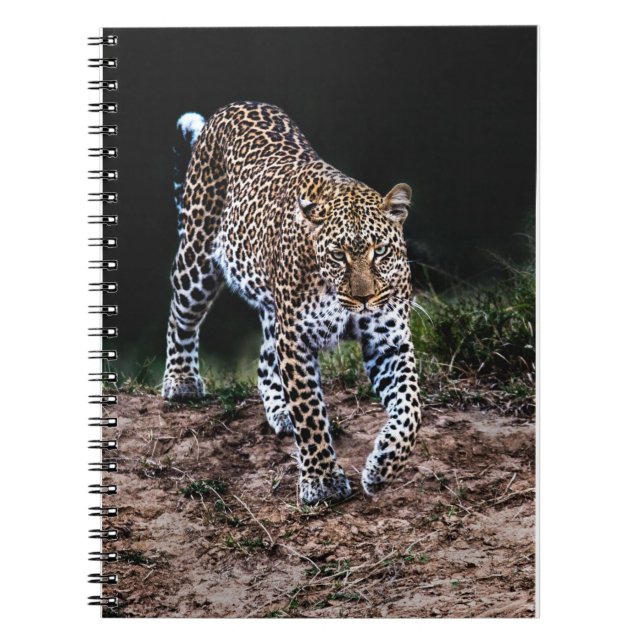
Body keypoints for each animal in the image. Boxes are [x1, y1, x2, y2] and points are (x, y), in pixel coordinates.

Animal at [163, 101, 422, 505]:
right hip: (197, 258)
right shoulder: (297, 340)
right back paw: (182, 381)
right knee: (182, 317)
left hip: (273, 310)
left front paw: (382, 467)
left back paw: (279, 409)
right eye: (338, 255)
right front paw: (323, 482)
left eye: (380, 251)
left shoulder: (389, 341)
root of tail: (232, 107)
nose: (364, 299)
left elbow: (411, 408)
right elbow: (311, 414)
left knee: (265, 359)